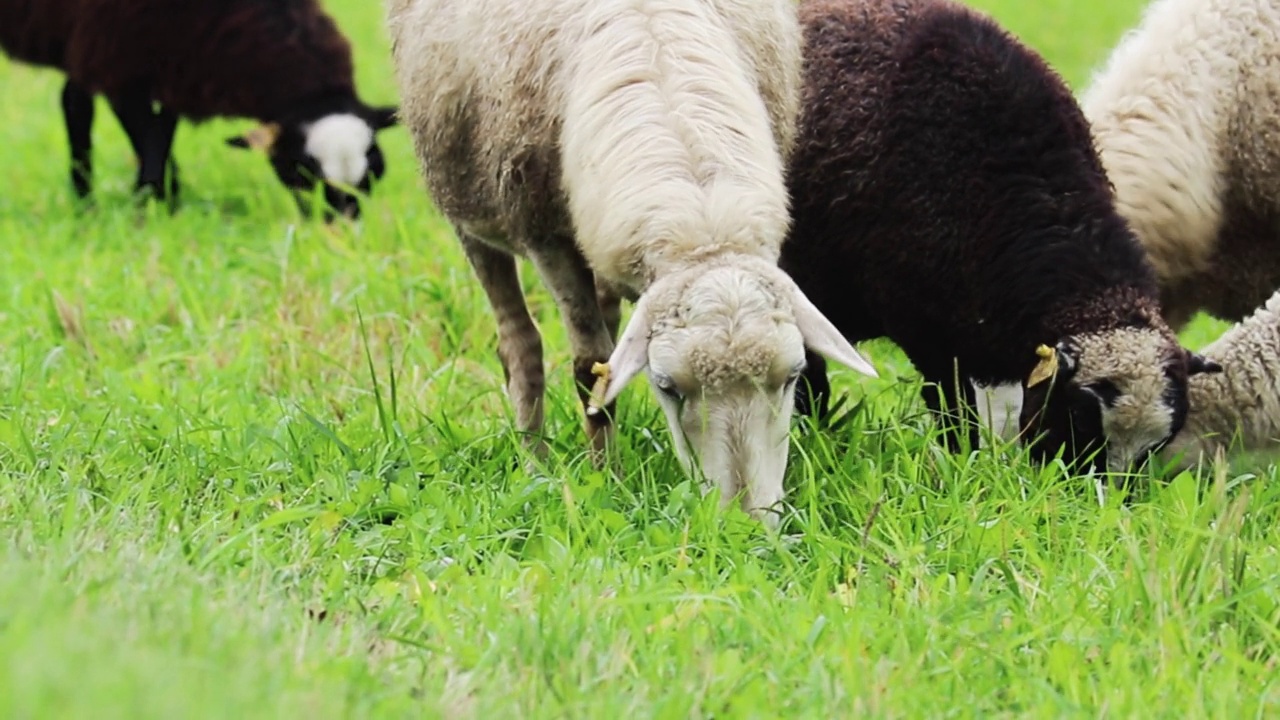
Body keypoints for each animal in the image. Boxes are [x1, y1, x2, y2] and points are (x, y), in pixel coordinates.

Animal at [0, 0, 394, 217]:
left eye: (374, 175)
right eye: (302, 173)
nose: (341, 233)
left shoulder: (176, 65)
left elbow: (161, 133)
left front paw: (165, 200)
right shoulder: (118, 57)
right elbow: (150, 142)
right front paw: (150, 206)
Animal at [384, 0, 875, 525]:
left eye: (793, 376)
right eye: (667, 386)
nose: (743, 520)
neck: (702, 234)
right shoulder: (547, 238)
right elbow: (591, 370)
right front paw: (607, 481)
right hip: (469, 208)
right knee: (519, 345)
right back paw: (534, 465)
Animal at [778, 0, 1218, 471]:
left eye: (1156, 446)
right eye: (1080, 420)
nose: (1101, 493)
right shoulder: (927, 334)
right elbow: (955, 413)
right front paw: (959, 465)